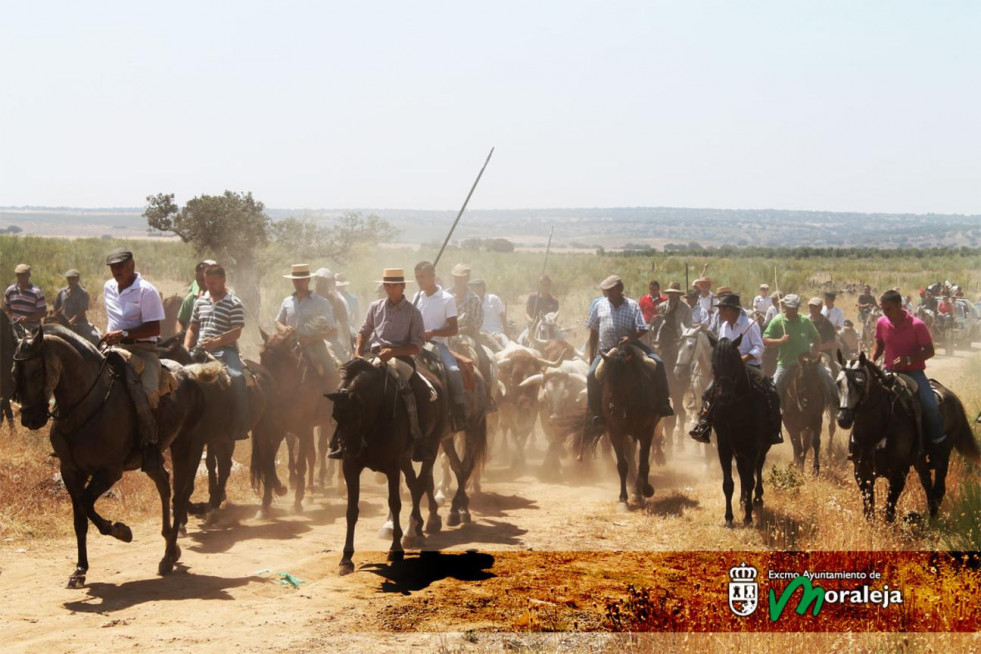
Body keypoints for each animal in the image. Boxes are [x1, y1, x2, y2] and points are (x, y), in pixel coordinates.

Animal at [251, 330, 338, 520]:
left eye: (280, 360)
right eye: (262, 355)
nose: (264, 382)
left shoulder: (303, 429)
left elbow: (301, 465)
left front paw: (297, 501)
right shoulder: (276, 431)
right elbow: (269, 463)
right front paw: (265, 504)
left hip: (325, 423)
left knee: (319, 450)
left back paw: (320, 482)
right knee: (312, 454)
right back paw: (311, 488)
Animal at [328, 358, 450, 580]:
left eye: (357, 415)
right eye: (335, 415)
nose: (349, 448)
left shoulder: (392, 467)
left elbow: (395, 504)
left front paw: (395, 549)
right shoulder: (351, 467)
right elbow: (351, 511)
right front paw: (346, 559)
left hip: (432, 446)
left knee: (421, 483)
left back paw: (412, 532)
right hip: (405, 460)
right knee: (414, 483)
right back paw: (418, 529)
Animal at [704, 336, 772, 532]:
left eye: (734, 363)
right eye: (714, 366)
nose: (724, 396)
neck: (737, 406)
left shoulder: (754, 446)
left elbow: (750, 480)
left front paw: (748, 517)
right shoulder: (724, 446)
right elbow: (728, 483)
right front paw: (729, 518)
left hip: (762, 448)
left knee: (757, 469)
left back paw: (757, 498)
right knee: (742, 472)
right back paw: (743, 500)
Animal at [836, 354, 980, 524]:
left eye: (859, 382)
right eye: (838, 383)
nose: (843, 419)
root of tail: (954, 400)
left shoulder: (899, 471)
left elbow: (889, 510)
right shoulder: (861, 472)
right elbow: (869, 510)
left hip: (943, 455)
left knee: (939, 488)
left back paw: (932, 519)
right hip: (920, 461)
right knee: (927, 483)